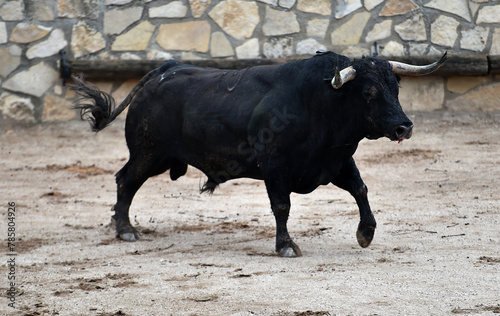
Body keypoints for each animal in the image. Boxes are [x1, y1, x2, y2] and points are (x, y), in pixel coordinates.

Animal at [71, 50, 450, 256]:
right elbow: (282, 206)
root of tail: (165, 69)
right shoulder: (276, 167)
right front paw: (286, 246)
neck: (321, 102)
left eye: (395, 87)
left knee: (125, 181)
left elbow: (361, 189)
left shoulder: (336, 161)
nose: (404, 127)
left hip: (154, 156)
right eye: (369, 91)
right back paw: (125, 229)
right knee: (125, 180)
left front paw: (366, 233)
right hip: (148, 153)